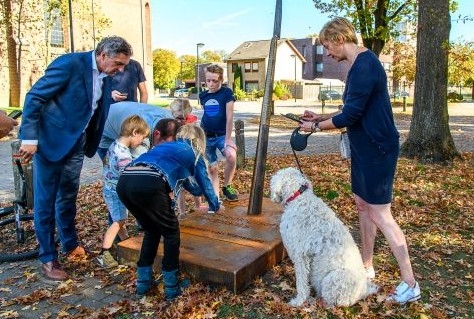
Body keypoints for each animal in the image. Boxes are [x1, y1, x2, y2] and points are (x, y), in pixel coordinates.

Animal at [270, 169, 378, 308]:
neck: (299, 197)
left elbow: (301, 283)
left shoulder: (300, 255)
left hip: (334, 278)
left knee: (336, 302)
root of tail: (364, 291)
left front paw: (299, 301)